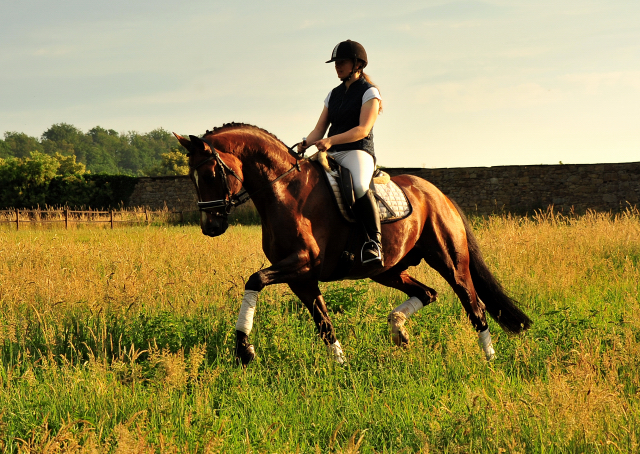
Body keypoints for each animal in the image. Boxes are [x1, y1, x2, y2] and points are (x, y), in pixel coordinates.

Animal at [174, 123, 528, 366]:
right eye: (191, 176)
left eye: (210, 173)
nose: (210, 227)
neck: (284, 192)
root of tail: (437, 194)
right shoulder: (301, 278)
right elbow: (324, 323)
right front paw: (341, 366)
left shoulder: (302, 263)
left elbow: (255, 279)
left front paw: (244, 350)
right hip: (387, 270)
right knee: (427, 293)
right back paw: (399, 330)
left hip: (450, 261)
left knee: (474, 304)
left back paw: (490, 359)